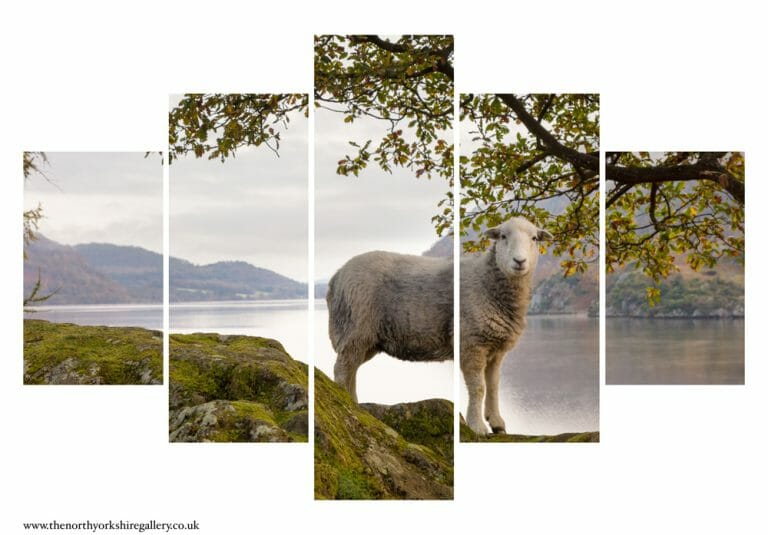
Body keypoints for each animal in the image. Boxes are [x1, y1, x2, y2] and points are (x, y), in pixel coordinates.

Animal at [327, 216, 552, 435]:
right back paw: (344, 403)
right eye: (503, 236)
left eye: (534, 238)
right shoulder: (471, 343)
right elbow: (478, 387)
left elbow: (494, 386)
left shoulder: (496, 349)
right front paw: (477, 426)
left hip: (367, 338)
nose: (519, 261)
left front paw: (496, 423)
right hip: (355, 328)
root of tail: (337, 275)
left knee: (352, 369)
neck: (487, 281)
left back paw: (355, 404)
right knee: (342, 369)